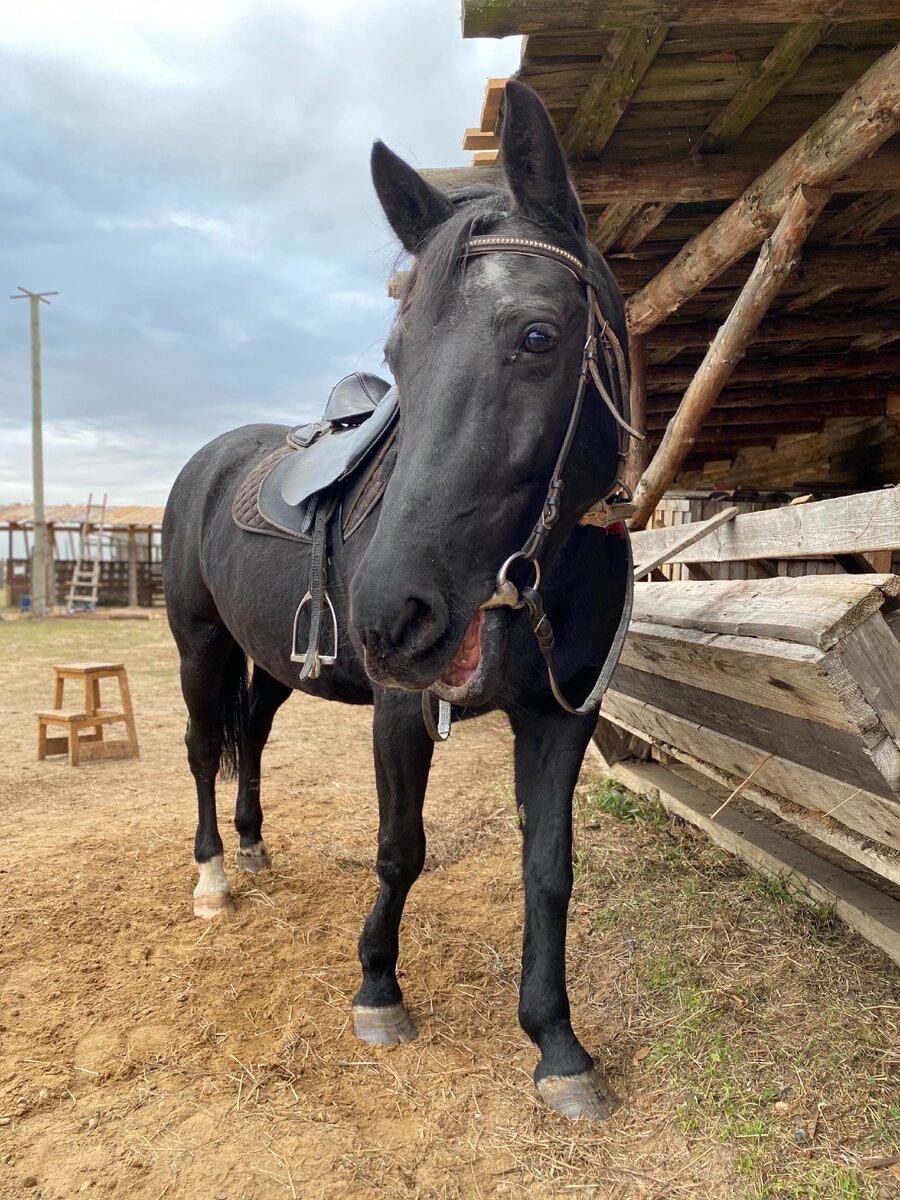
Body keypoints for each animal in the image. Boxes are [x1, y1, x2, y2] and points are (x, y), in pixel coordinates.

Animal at [165, 84, 638, 1123]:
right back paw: (214, 876)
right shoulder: (400, 706)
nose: (392, 617)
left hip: (274, 661)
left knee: (252, 736)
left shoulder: (561, 717)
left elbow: (550, 870)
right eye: (398, 351)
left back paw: (253, 849)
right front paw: (378, 990)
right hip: (199, 644)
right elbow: (400, 848)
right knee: (201, 749)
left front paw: (557, 1044)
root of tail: (208, 460)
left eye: (537, 336)